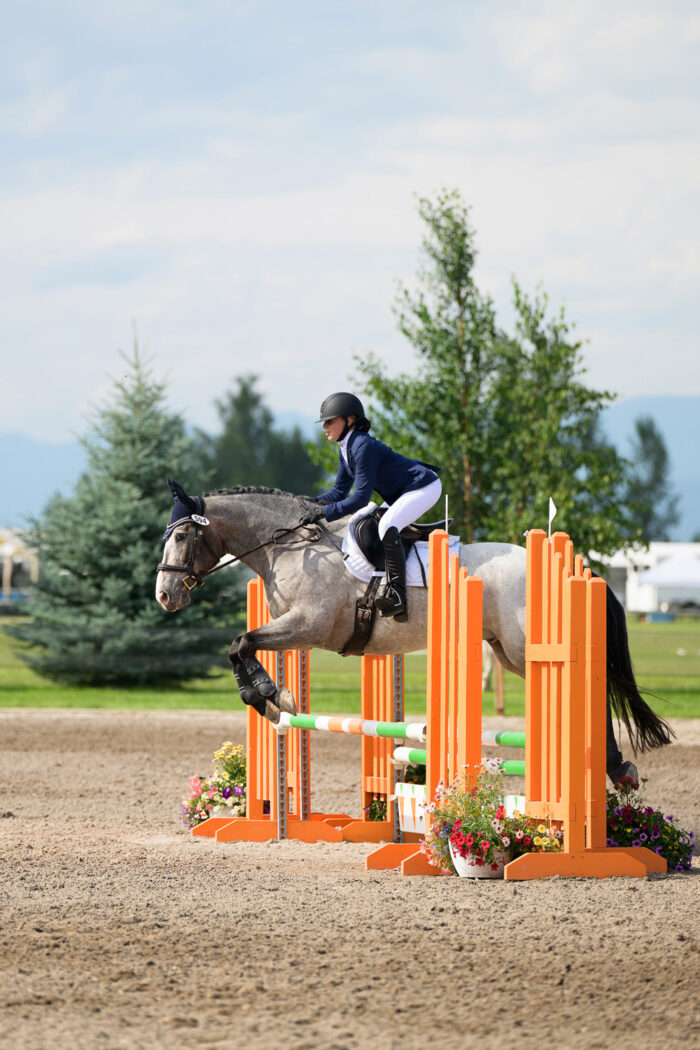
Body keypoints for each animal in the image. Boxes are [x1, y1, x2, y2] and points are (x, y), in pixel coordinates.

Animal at [155, 482, 673, 780]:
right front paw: (270, 698)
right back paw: (611, 767)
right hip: (508, 653)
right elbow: (242, 646)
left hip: (528, 648)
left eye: (180, 536)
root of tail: (570, 567)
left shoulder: (309, 625)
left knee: (589, 687)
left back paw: (612, 767)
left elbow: (240, 643)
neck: (289, 545)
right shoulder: (289, 625)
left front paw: (270, 695)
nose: (164, 595)